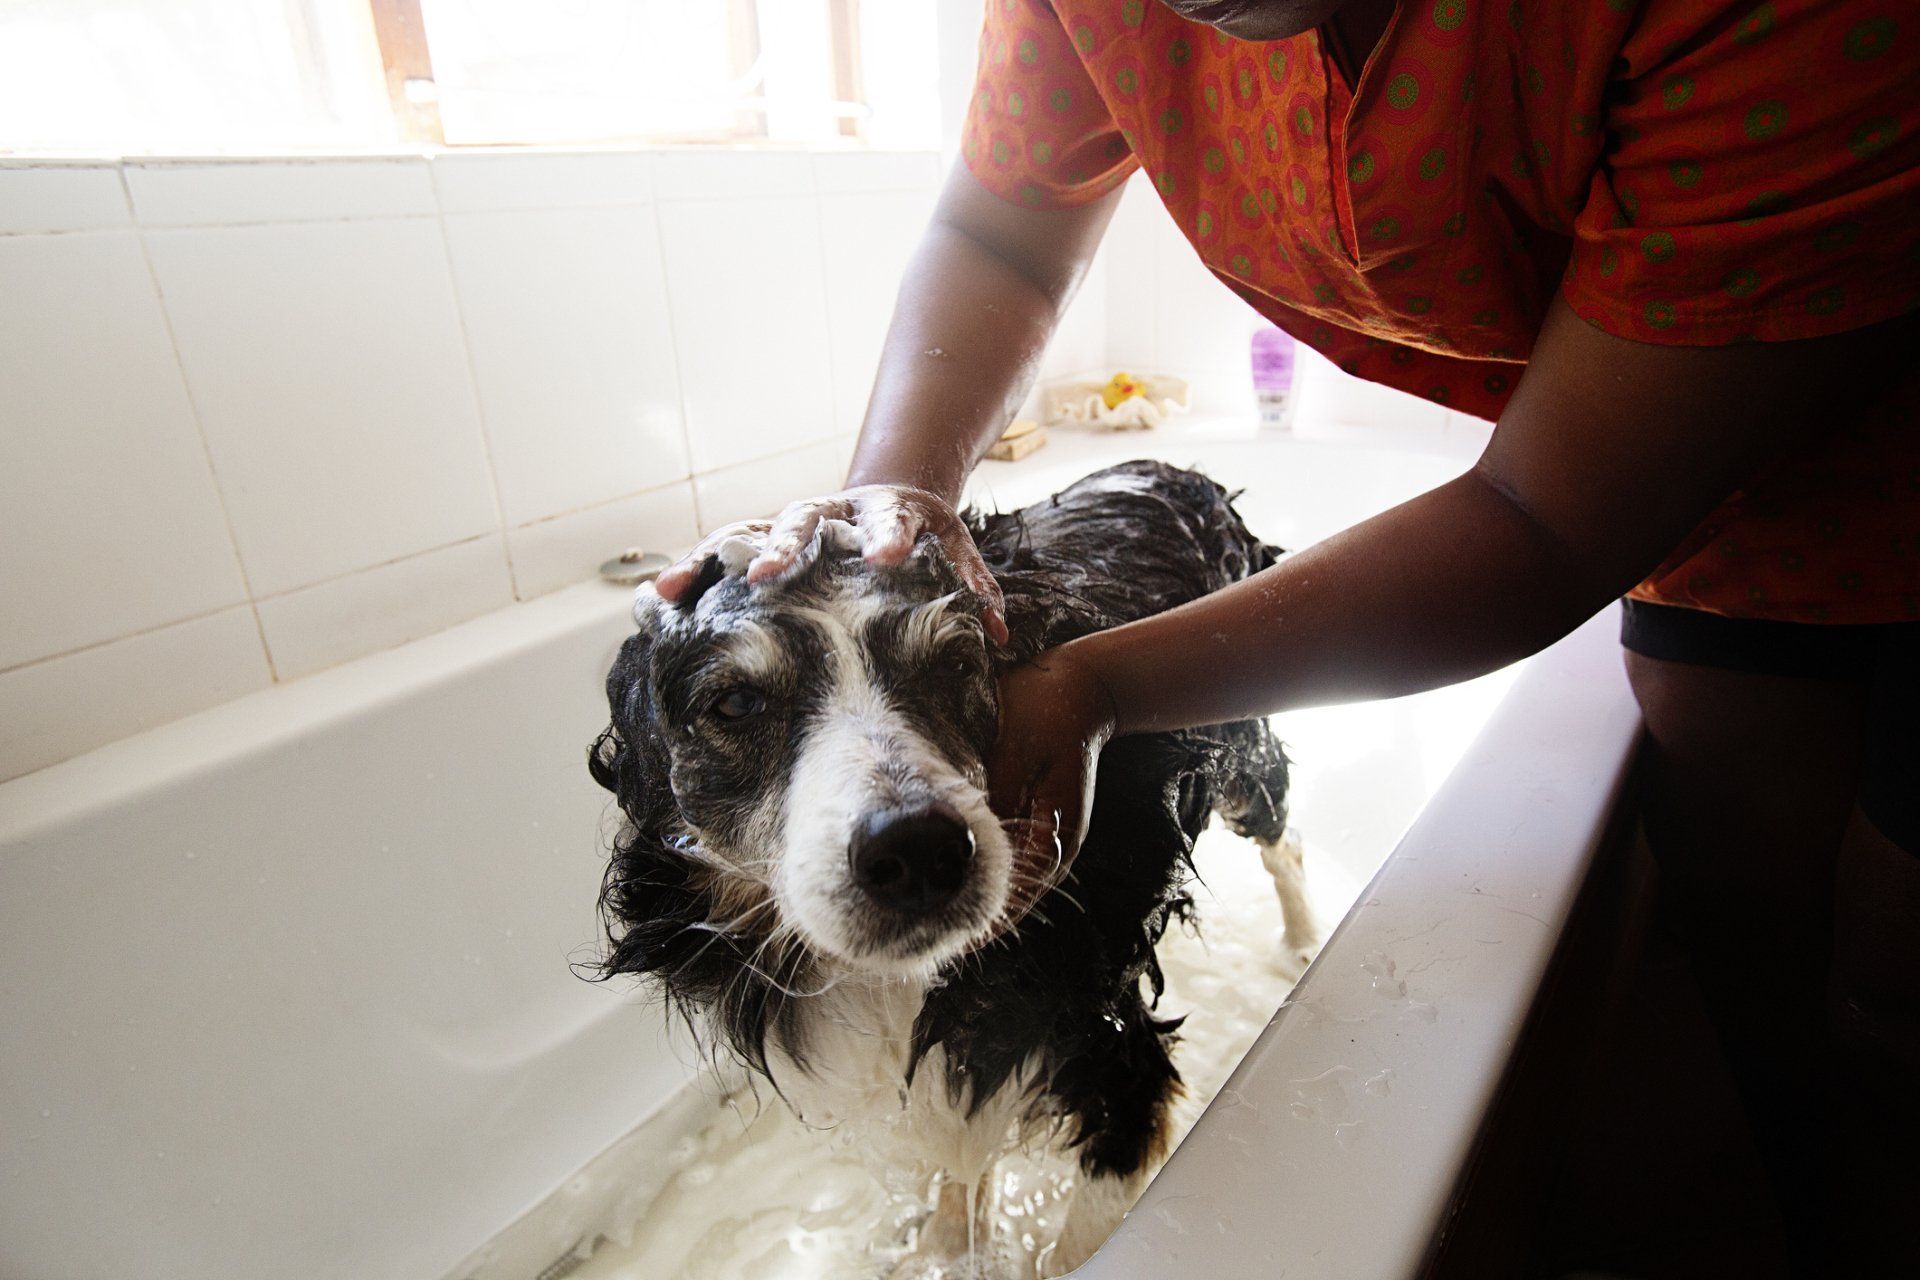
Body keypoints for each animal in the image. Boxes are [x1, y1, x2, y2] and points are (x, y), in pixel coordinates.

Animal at [587, 460, 1320, 1274]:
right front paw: (944, 1247)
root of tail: (1171, 469)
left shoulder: (1117, 1058)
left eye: (955, 666)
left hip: (1245, 751)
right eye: (737, 703)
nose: (918, 851)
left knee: (1285, 843)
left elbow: (1074, 1245)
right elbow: (961, 1168)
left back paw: (1300, 944)